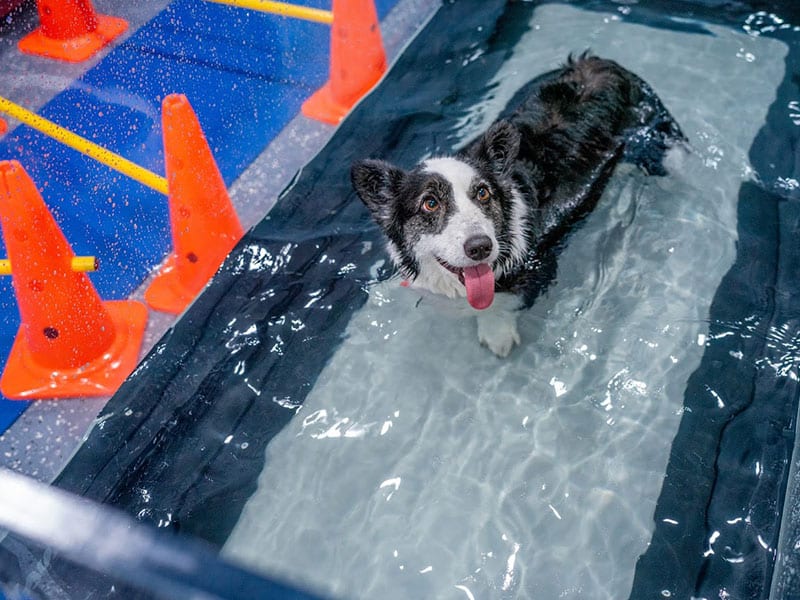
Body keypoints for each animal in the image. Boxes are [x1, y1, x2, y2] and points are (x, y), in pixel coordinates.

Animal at [352, 54, 683, 356]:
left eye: (483, 193)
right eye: (430, 204)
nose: (480, 247)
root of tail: (601, 62)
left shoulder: (537, 269)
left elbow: (499, 305)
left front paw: (496, 335)